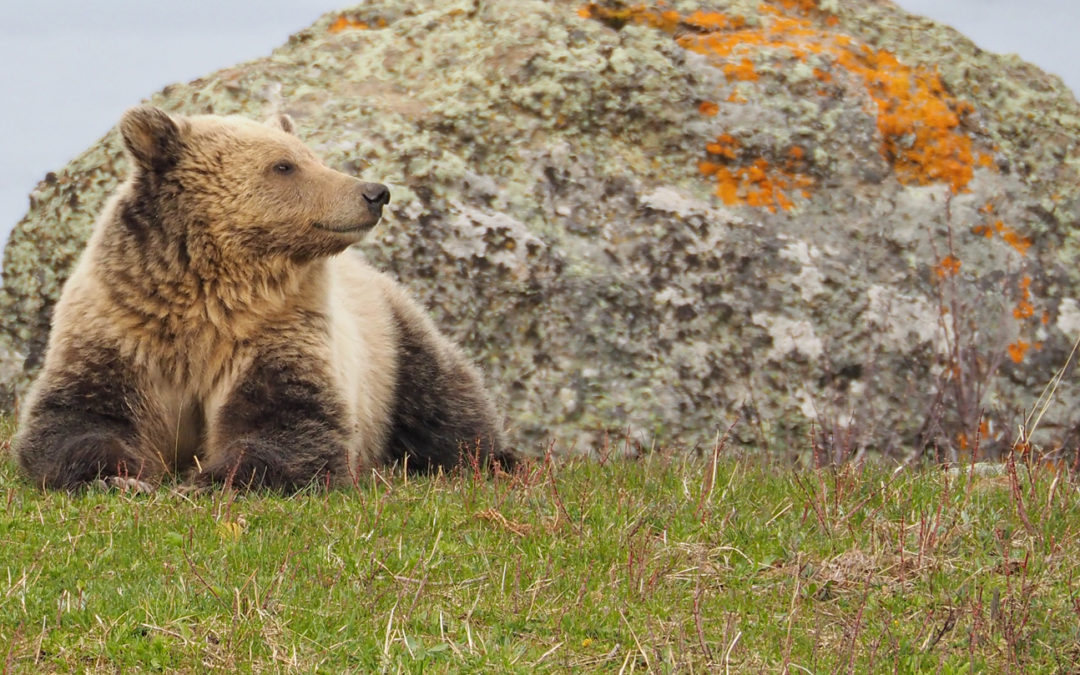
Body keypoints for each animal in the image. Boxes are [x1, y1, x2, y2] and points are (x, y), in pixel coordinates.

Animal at [12, 105, 509, 490]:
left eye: (313, 157)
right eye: (284, 165)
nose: (375, 193)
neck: (210, 295)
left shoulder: (280, 333)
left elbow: (286, 420)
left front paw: (210, 480)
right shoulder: (123, 326)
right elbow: (80, 416)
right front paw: (118, 476)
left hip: (390, 346)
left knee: (445, 406)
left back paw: (495, 459)